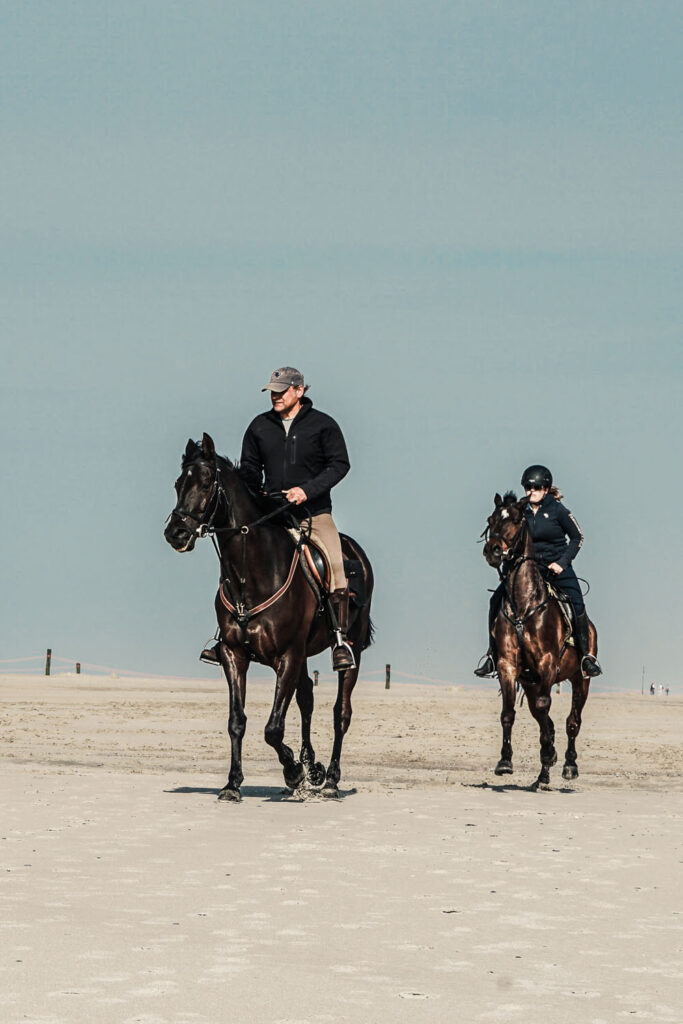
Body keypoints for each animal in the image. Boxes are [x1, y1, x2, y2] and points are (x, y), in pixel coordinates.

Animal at [165, 432, 376, 798]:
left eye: (205, 482)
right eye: (179, 483)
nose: (175, 533)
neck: (254, 574)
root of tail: (357, 554)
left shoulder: (287, 656)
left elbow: (273, 728)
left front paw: (292, 772)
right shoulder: (235, 655)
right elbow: (237, 722)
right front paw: (233, 784)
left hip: (351, 650)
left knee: (341, 712)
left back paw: (331, 780)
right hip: (304, 656)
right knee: (306, 700)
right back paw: (313, 767)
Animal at [481, 491, 598, 786]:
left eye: (517, 520)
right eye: (490, 520)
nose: (493, 550)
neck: (525, 605)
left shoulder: (547, 664)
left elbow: (548, 709)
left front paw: (550, 754)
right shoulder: (508, 665)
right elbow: (509, 712)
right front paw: (505, 761)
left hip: (581, 680)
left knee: (572, 721)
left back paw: (569, 765)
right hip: (531, 681)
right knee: (544, 718)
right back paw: (543, 775)